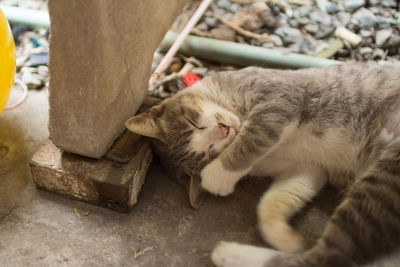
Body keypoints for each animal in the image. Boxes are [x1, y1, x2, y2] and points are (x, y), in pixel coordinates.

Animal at [125, 63, 400, 267]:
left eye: (194, 123)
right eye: (209, 152)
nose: (224, 130)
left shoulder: (281, 99)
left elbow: (254, 135)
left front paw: (217, 176)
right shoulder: (305, 167)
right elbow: (272, 201)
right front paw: (286, 238)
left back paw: (228, 253)